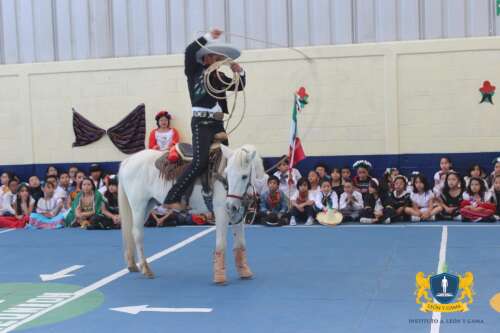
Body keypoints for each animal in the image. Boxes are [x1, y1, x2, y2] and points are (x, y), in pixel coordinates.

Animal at [118, 143, 266, 282]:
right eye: (227, 173)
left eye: (244, 176)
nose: (229, 205)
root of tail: (128, 160)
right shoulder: (221, 213)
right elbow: (221, 243)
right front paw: (220, 277)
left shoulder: (238, 214)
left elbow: (240, 243)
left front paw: (245, 272)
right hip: (138, 206)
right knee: (137, 234)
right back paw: (146, 269)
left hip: (148, 205)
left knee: (133, 232)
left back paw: (133, 265)